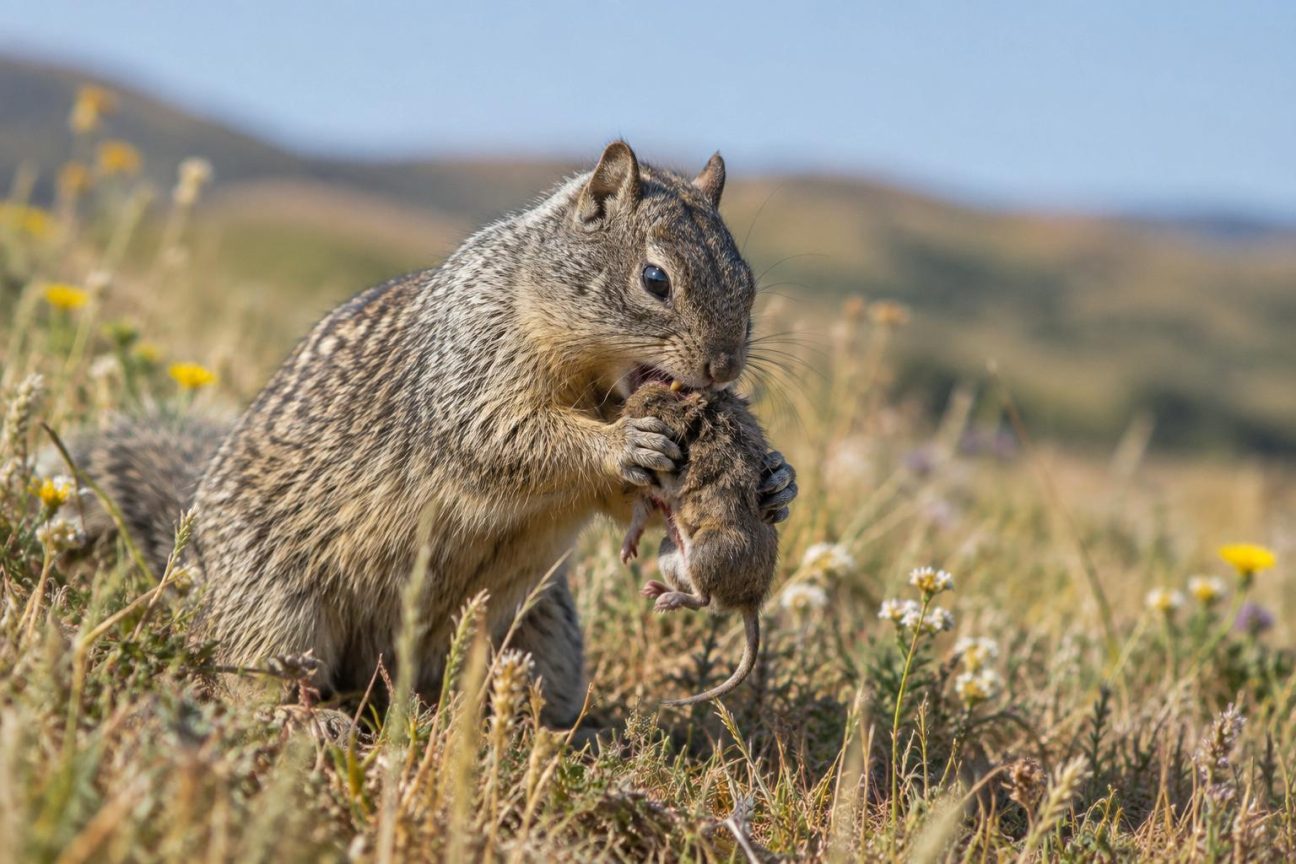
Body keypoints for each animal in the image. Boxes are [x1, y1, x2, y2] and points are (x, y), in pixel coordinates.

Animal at [618, 382, 777, 706]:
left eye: (650, 402)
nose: (623, 410)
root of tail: (751, 603)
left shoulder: (674, 479)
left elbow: (661, 491)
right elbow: (640, 512)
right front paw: (626, 551)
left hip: (707, 549)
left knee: (704, 600)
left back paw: (666, 600)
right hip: (668, 551)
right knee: (694, 595)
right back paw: (656, 591)